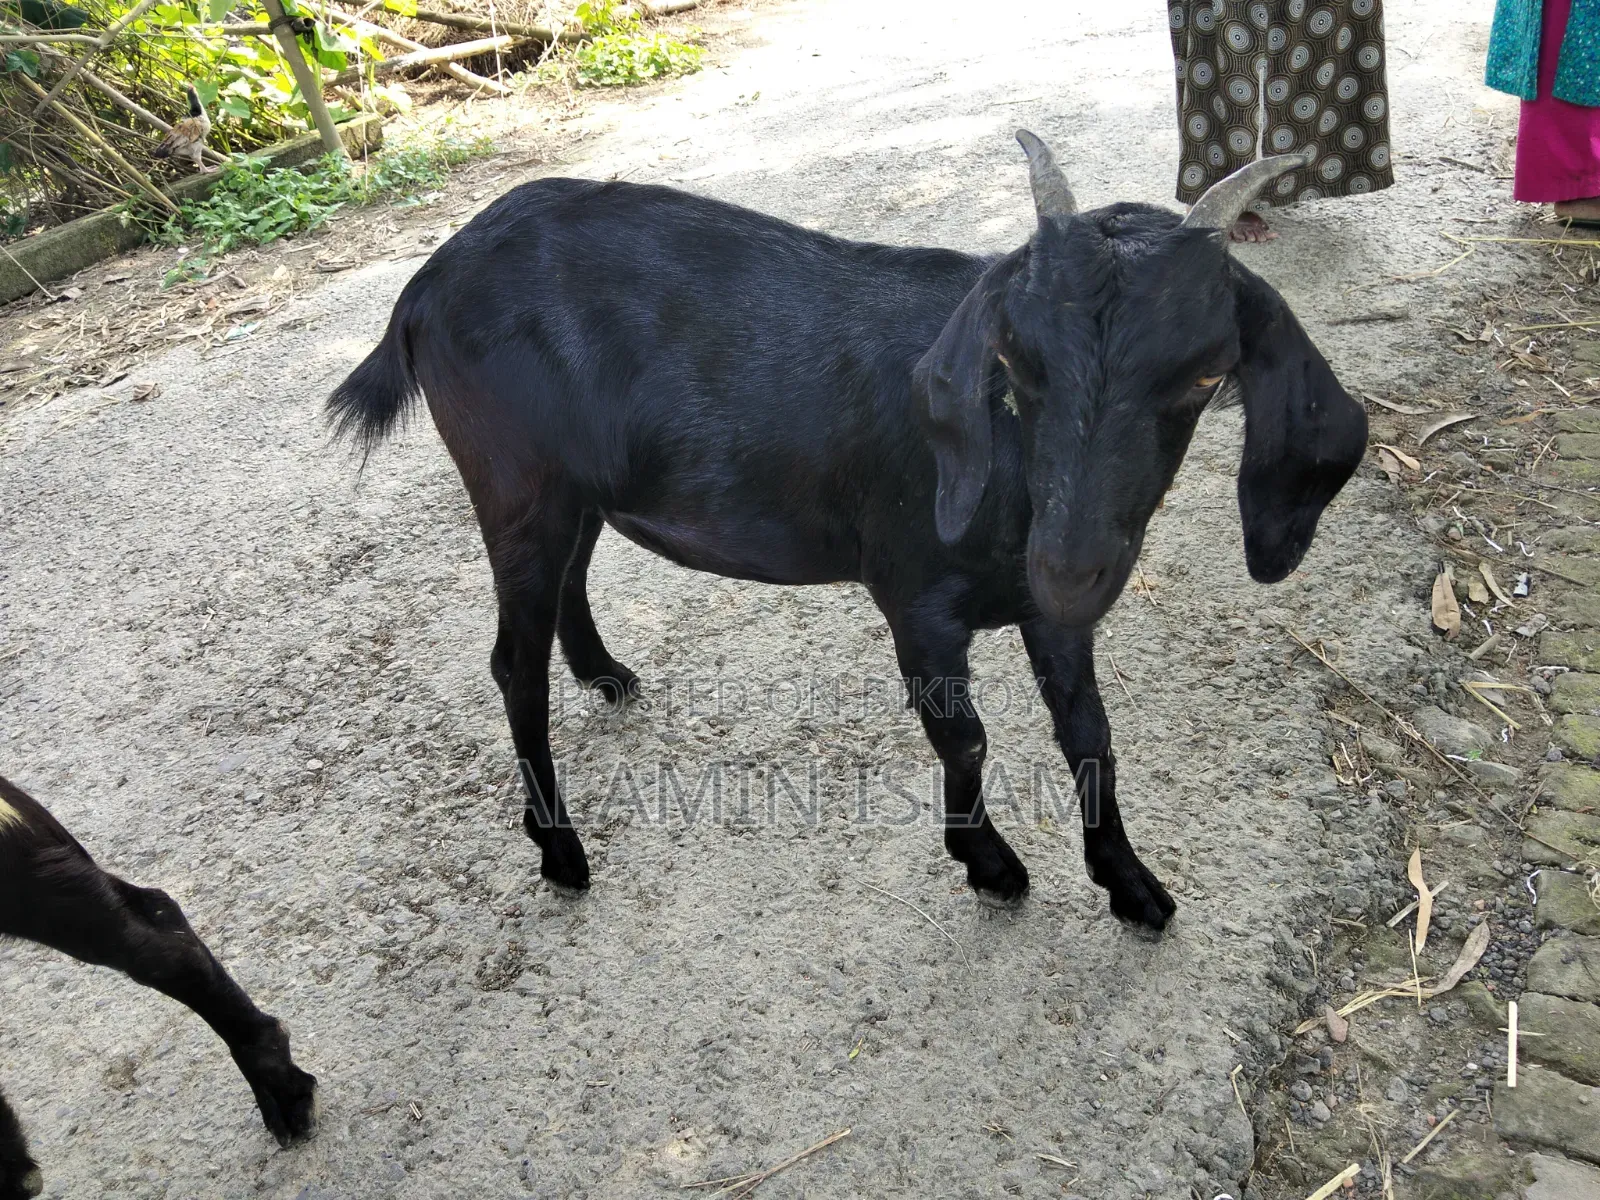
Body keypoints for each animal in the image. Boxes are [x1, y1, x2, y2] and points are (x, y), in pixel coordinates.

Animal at [328, 131, 1367, 931]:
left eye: (1207, 374)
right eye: (1014, 362)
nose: (1071, 567)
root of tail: (425, 286)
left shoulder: (1046, 611)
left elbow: (1090, 734)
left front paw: (1132, 885)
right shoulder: (913, 596)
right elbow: (965, 737)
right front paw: (992, 868)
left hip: (572, 488)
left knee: (567, 588)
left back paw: (606, 675)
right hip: (516, 487)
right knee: (513, 662)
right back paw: (560, 851)